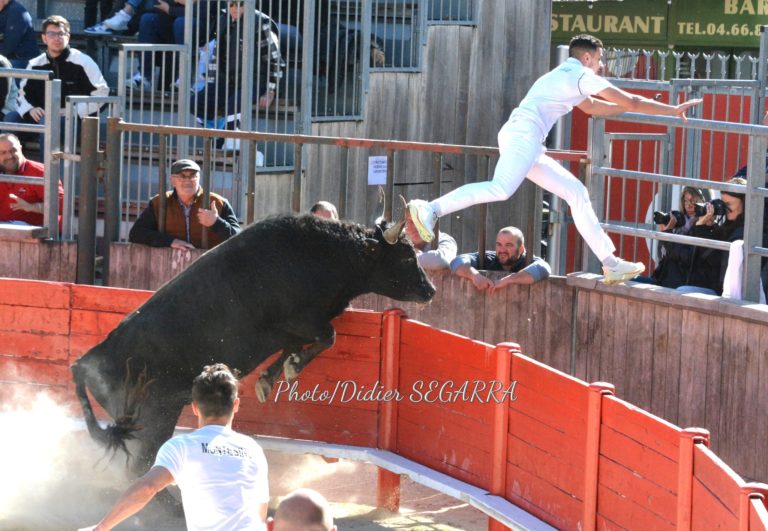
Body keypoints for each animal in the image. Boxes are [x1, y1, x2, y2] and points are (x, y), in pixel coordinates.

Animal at [70, 215, 436, 474]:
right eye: (406, 258)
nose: (430, 290)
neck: (325, 255)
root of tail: (87, 360)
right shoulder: (297, 320)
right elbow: (327, 336)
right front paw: (290, 368)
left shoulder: (291, 331)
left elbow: (302, 344)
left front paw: (269, 378)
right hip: (155, 416)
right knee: (141, 468)